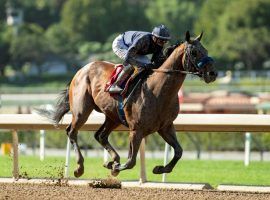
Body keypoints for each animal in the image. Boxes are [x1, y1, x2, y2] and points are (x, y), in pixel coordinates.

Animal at [43, 31, 218, 178]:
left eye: (206, 49)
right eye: (194, 52)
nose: (213, 73)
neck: (158, 91)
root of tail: (81, 69)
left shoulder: (165, 126)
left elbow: (179, 151)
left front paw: (160, 168)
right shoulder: (136, 129)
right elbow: (131, 161)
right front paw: (114, 167)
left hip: (112, 116)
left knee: (100, 135)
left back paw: (113, 159)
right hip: (82, 111)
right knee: (72, 131)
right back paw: (80, 167)